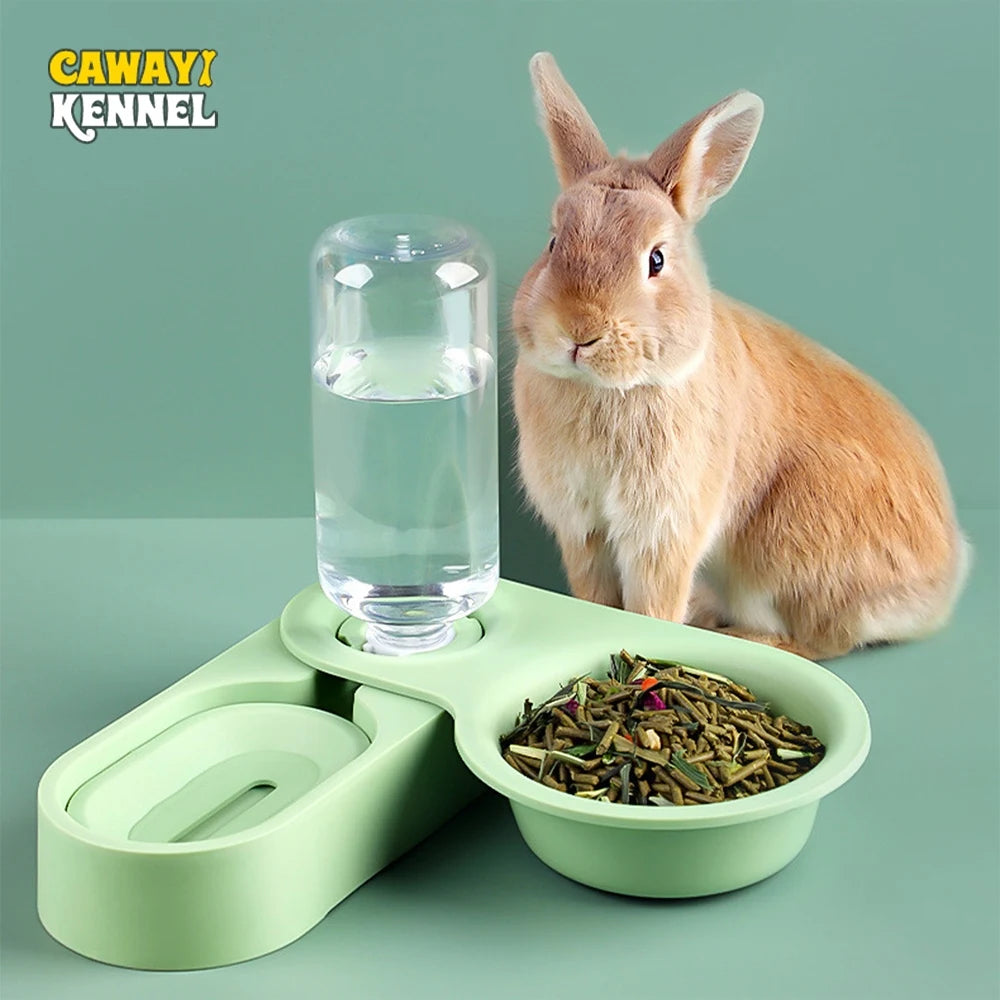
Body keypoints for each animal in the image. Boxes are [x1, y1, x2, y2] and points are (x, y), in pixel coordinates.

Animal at [512, 52, 970, 660]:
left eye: (656, 259)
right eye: (552, 243)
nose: (579, 330)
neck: (609, 389)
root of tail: (941, 588)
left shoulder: (663, 528)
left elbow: (651, 602)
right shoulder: (581, 527)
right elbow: (593, 596)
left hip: (792, 542)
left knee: (816, 640)